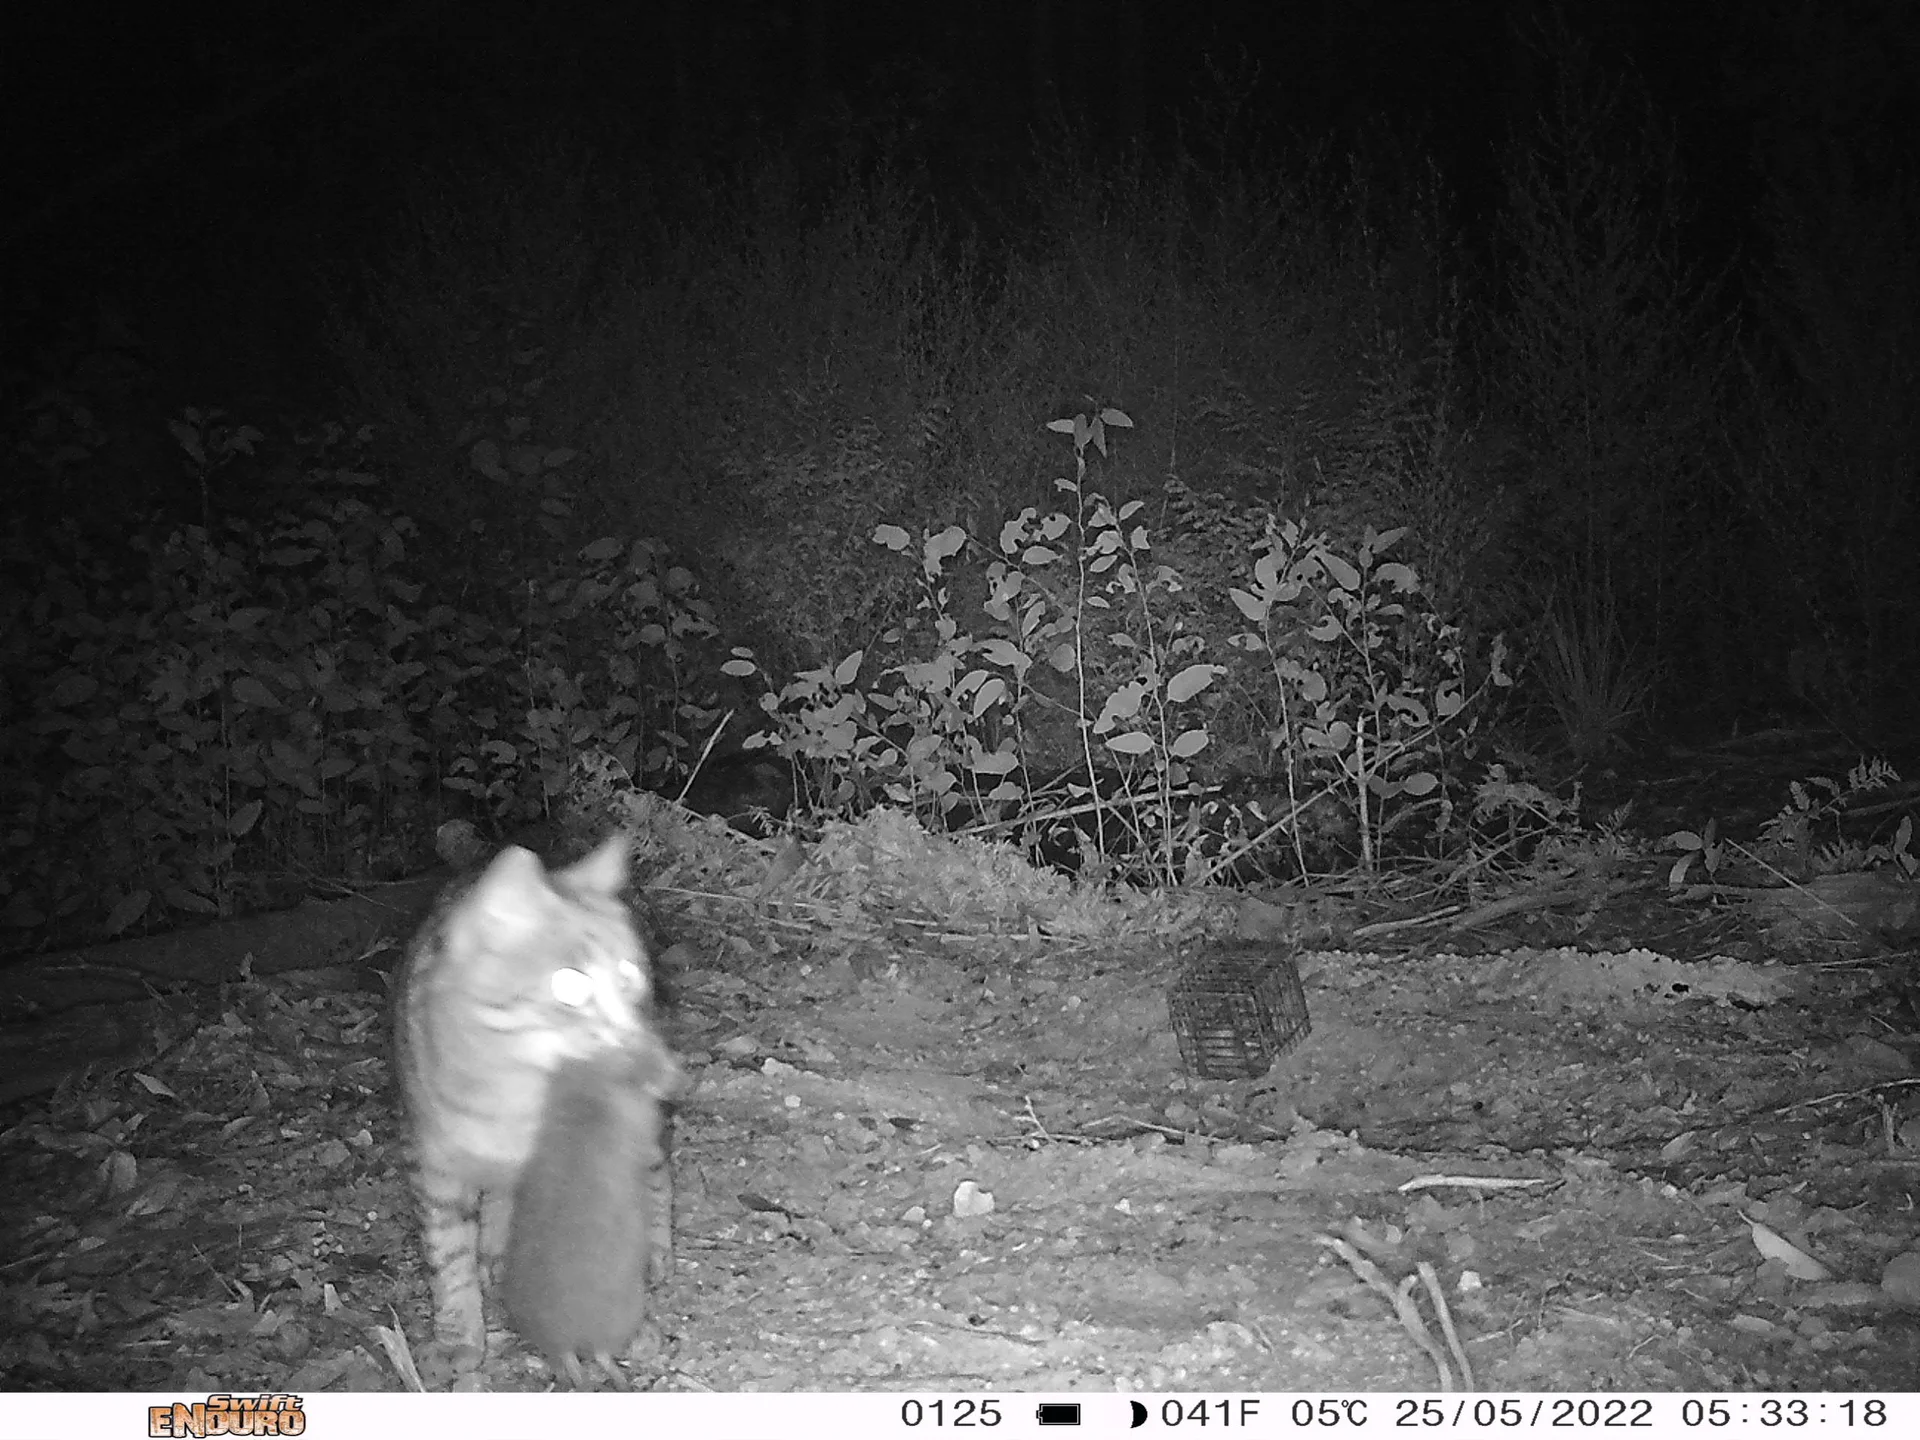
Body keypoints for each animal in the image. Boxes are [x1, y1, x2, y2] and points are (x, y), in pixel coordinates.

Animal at [389, 833, 668, 1374]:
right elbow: (448, 1254)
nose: (630, 1030)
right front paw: (458, 1334)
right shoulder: (434, 1164)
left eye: (628, 977)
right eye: (571, 984)